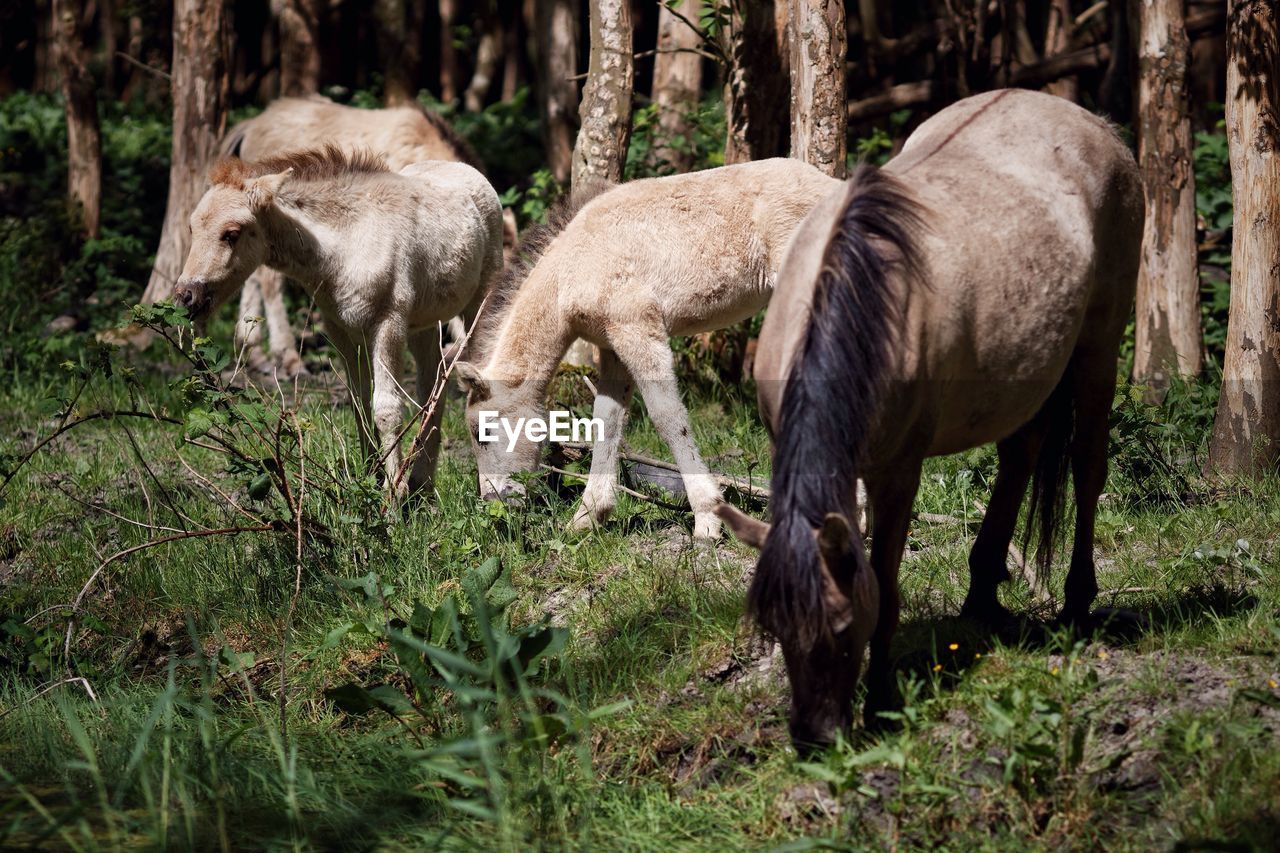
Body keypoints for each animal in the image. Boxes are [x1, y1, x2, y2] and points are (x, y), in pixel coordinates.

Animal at [175, 143, 504, 494]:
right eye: (193, 228)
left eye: (231, 233)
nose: (186, 295)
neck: (342, 248)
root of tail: (471, 172)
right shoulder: (342, 330)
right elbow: (359, 404)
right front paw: (372, 481)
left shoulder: (388, 324)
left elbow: (386, 409)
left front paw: (392, 495)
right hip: (424, 323)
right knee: (433, 385)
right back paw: (422, 485)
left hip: (477, 303)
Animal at [455, 156, 844, 535]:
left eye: (482, 432)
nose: (495, 504)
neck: (573, 267)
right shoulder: (611, 345)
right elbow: (606, 419)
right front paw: (587, 518)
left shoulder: (637, 328)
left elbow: (667, 415)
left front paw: (707, 520)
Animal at [716, 89, 1146, 747]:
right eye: (776, 627)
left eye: (842, 628)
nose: (814, 737)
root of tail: (1096, 126)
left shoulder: (898, 472)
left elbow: (887, 586)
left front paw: (882, 702)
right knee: (1020, 455)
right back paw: (982, 595)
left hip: (1100, 346)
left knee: (1088, 466)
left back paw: (1077, 604)